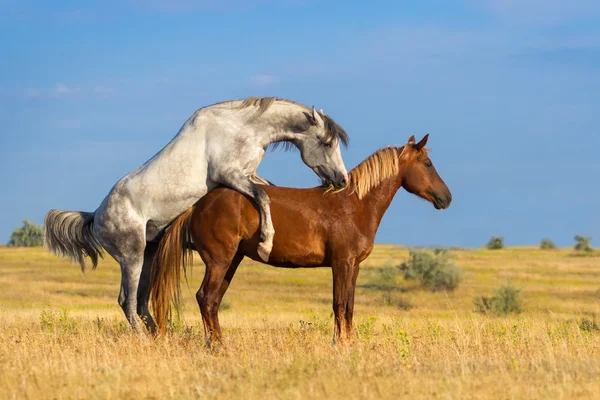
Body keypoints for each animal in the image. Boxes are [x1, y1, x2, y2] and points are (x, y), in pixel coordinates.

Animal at [44, 97, 350, 332]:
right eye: (326, 143)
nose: (342, 180)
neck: (241, 128)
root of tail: (96, 216)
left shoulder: (248, 174)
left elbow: (268, 192)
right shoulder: (230, 175)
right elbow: (262, 197)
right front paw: (266, 243)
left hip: (148, 255)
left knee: (141, 303)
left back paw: (161, 338)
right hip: (131, 258)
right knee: (127, 303)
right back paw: (144, 340)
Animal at [150, 134, 450, 344]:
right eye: (427, 164)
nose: (446, 198)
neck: (355, 204)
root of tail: (198, 204)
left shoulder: (353, 266)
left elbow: (349, 306)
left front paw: (350, 344)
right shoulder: (342, 263)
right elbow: (339, 305)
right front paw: (340, 346)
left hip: (231, 262)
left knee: (212, 302)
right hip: (218, 261)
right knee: (206, 297)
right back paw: (217, 346)